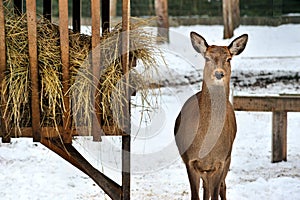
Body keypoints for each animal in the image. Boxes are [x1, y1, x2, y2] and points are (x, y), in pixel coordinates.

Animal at [173, 31, 248, 200]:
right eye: (207, 58)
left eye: (229, 59)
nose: (219, 74)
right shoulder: (190, 161)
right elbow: (196, 196)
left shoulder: (220, 162)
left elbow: (215, 193)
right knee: (206, 188)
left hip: (228, 159)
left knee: (222, 186)